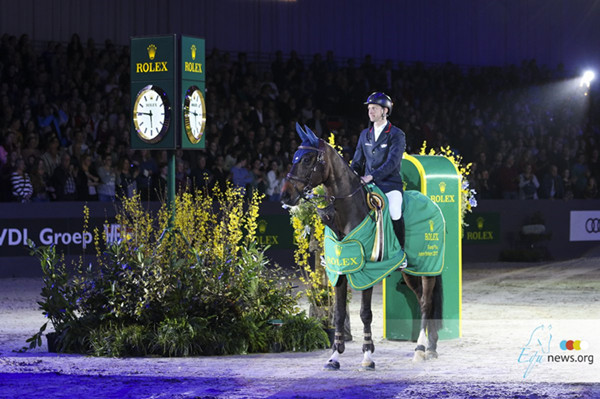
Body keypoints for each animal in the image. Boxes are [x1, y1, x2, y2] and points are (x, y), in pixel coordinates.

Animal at [278, 125, 442, 372]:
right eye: (294, 157)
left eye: (306, 159)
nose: (285, 195)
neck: (347, 213)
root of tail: (433, 204)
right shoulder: (339, 270)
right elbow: (338, 314)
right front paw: (334, 356)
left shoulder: (368, 273)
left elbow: (365, 314)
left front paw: (367, 357)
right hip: (411, 272)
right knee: (425, 301)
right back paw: (431, 349)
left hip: (427, 268)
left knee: (425, 303)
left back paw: (421, 349)